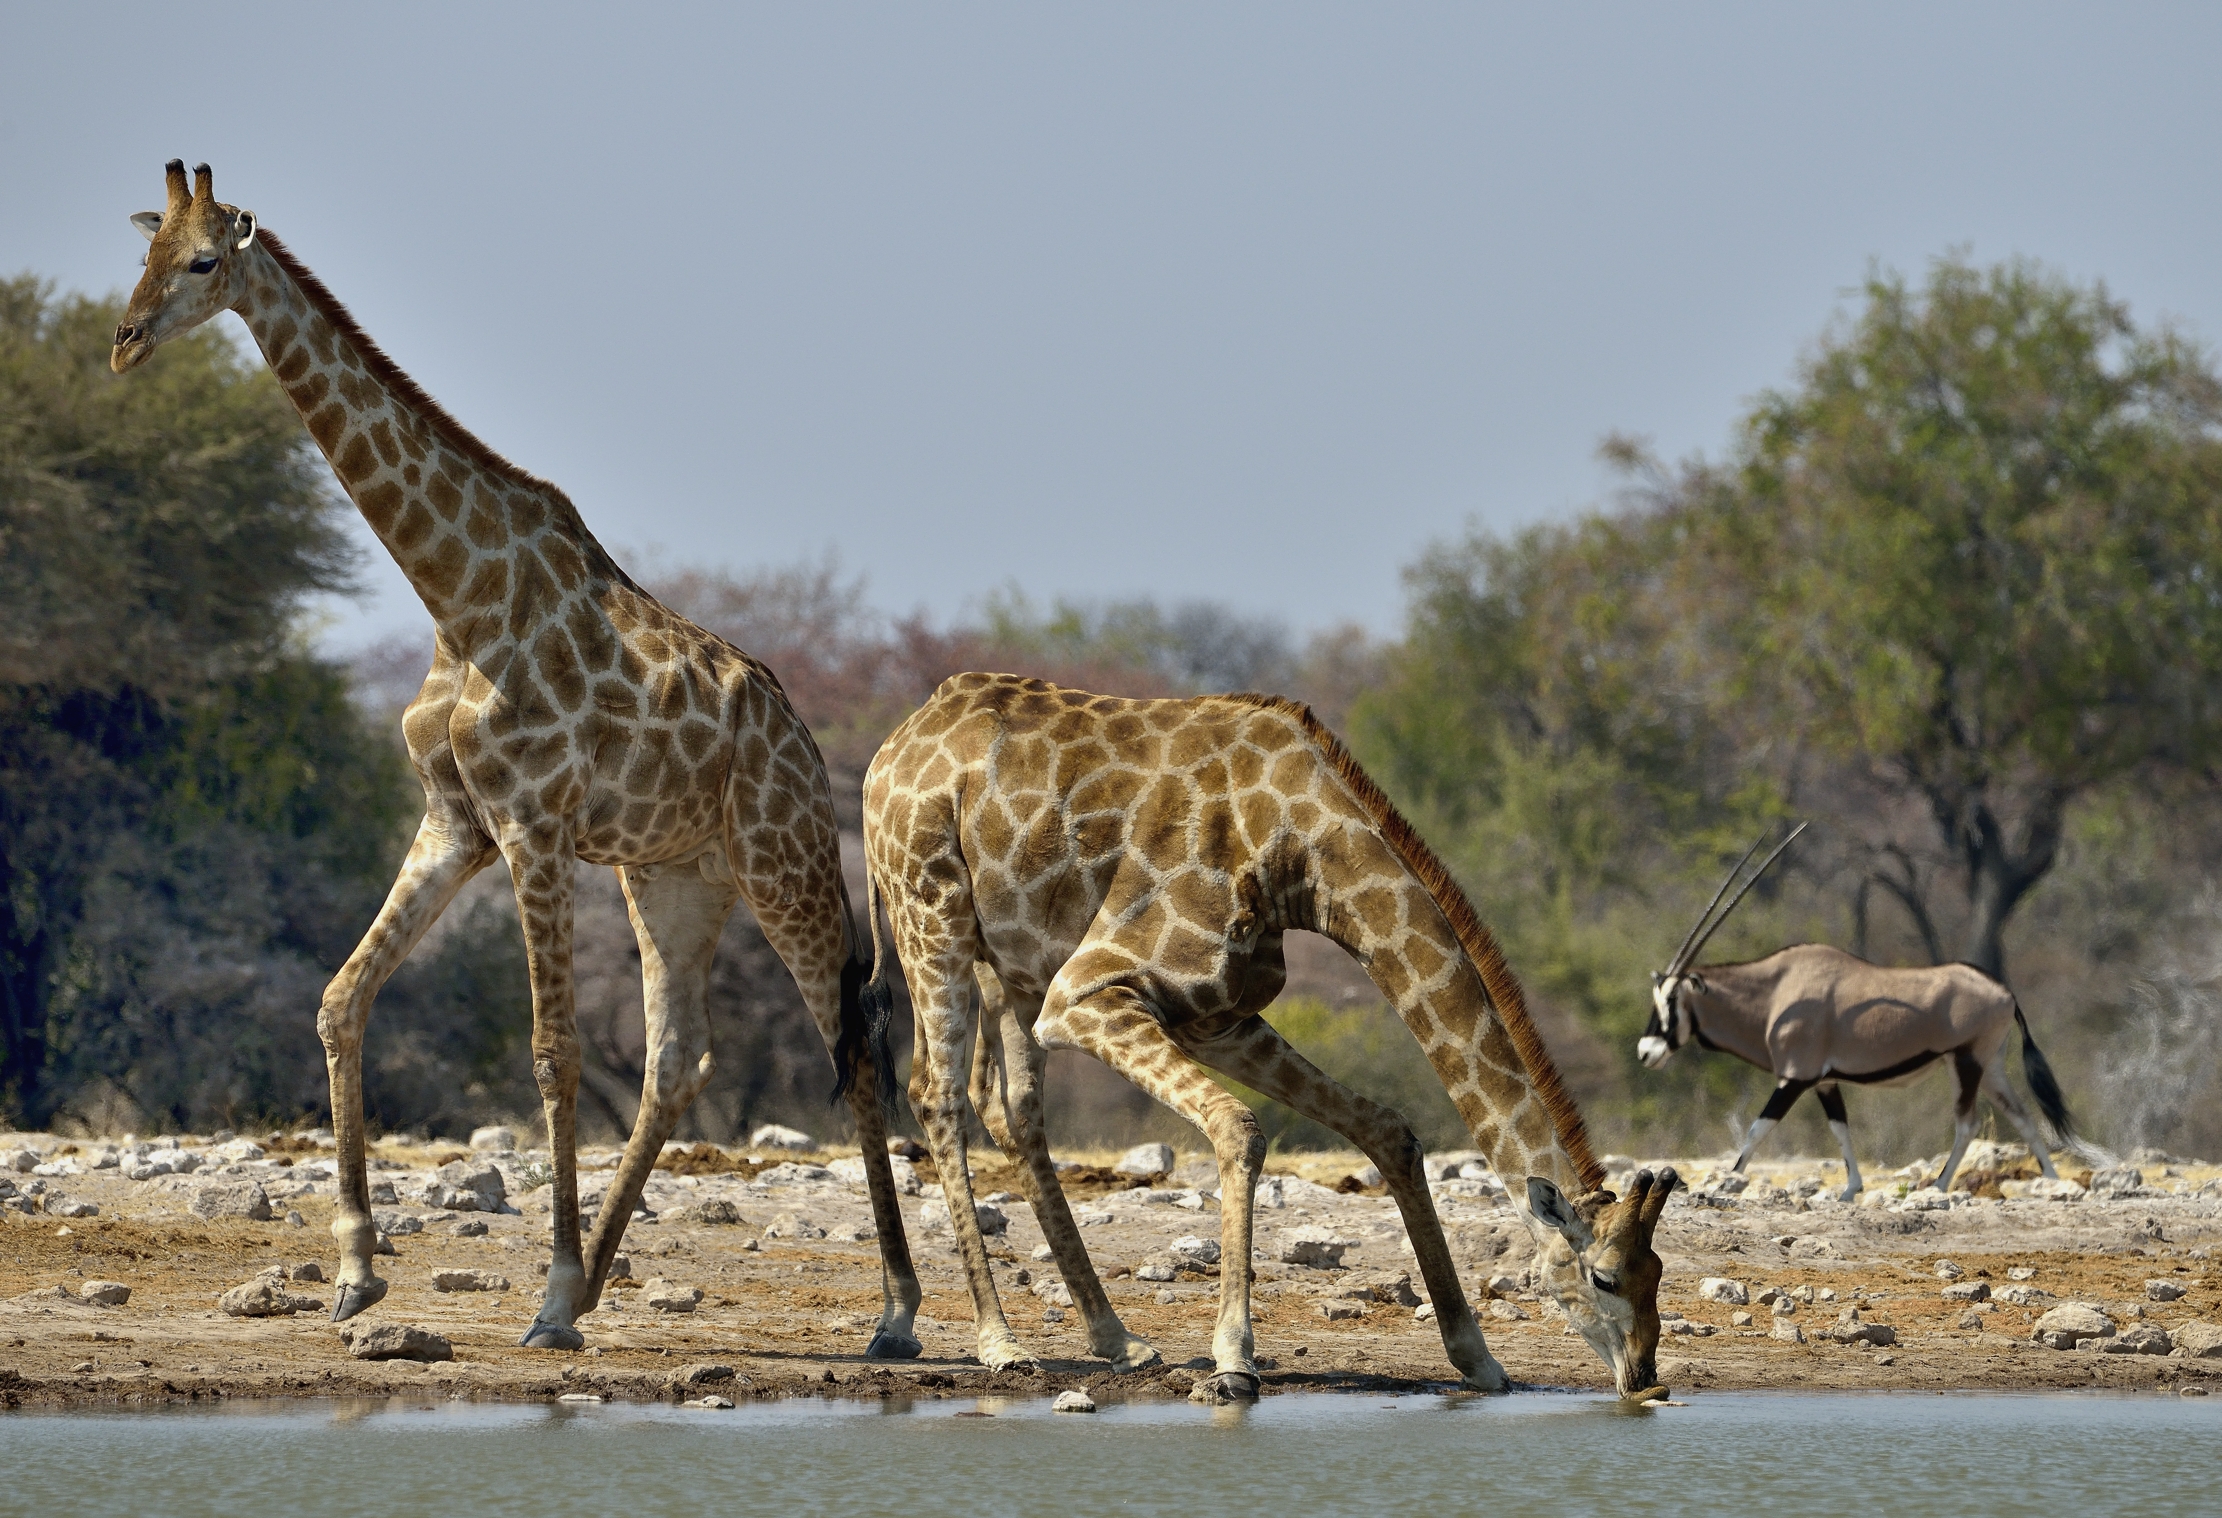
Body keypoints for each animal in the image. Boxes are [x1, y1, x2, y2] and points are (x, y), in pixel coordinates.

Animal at [111, 160, 924, 1355]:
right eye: (145, 253)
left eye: (205, 259)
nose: (123, 342)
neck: (458, 595)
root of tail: (800, 734)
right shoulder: (458, 822)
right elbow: (340, 999)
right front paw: (357, 1274)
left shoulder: (533, 824)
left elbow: (550, 1053)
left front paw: (542, 1293)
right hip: (672, 875)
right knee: (678, 1056)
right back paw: (596, 1288)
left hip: (786, 862)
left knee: (851, 1038)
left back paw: (894, 1311)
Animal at [863, 672, 1677, 1402]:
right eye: (1604, 1276)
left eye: (1659, 1272)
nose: (1644, 1378)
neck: (1304, 856)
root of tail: (892, 747)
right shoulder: (1088, 992)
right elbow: (1240, 1128)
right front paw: (1233, 1360)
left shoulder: (1218, 1016)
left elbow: (1389, 1129)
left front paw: (1478, 1358)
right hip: (931, 913)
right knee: (937, 1094)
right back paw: (995, 1342)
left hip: (1009, 962)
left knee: (1012, 1107)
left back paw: (1118, 1339)